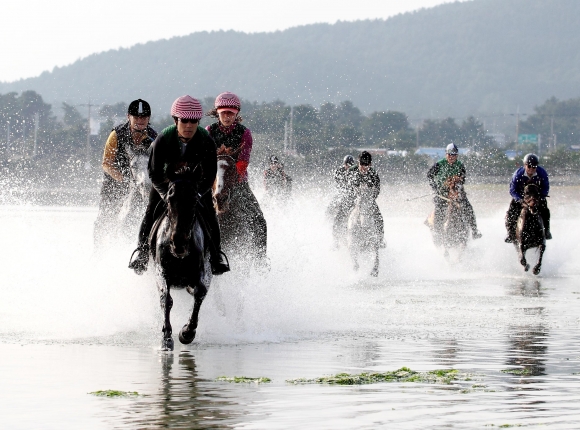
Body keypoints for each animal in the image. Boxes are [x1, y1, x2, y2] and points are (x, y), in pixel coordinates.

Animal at [151, 172, 212, 352]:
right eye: (170, 199)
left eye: (194, 200)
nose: (179, 243)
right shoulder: (161, 271)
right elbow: (166, 298)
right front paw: (166, 338)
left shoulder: (201, 272)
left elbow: (200, 292)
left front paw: (186, 332)